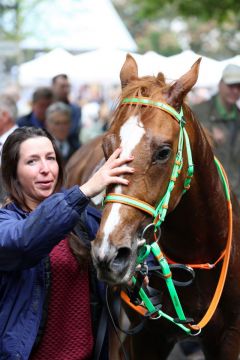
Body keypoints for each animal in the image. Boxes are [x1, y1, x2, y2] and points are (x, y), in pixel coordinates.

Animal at [91, 54, 240, 360]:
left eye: (163, 152)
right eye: (106, 147)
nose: (110, 253)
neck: (196, 254)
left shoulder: (230, 337)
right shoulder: (147, 337)